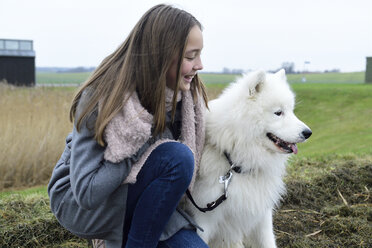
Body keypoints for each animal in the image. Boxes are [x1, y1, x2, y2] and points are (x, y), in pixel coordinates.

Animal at [185, 70, 310, 248]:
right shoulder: (203, 219)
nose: (308, 133)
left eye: (291, 111)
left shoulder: (261, 215)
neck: (236, 164)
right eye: (278, 113)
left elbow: (268, 242)